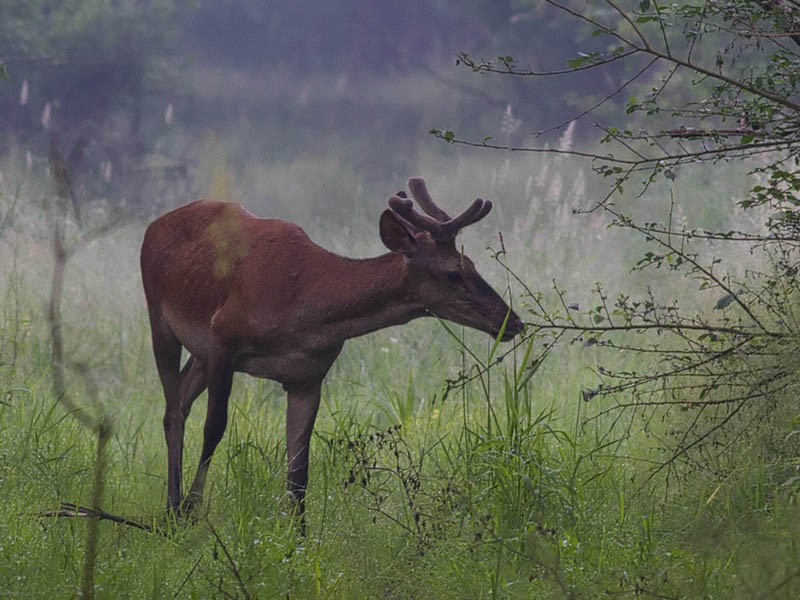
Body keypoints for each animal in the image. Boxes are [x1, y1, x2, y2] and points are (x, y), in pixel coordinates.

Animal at [139, 176, 524, 528]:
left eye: (473, 265)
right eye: (453, 273)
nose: (513, 321)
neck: (304, 305)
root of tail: (152, 226)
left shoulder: (308, 376)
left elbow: (299, 466)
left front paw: (298, 537)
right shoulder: (223, 337)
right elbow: (214, 429)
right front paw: (191, 511)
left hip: (199, 353)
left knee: (182, 397)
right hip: (160, 317)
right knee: (173, 411)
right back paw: (172, 508)